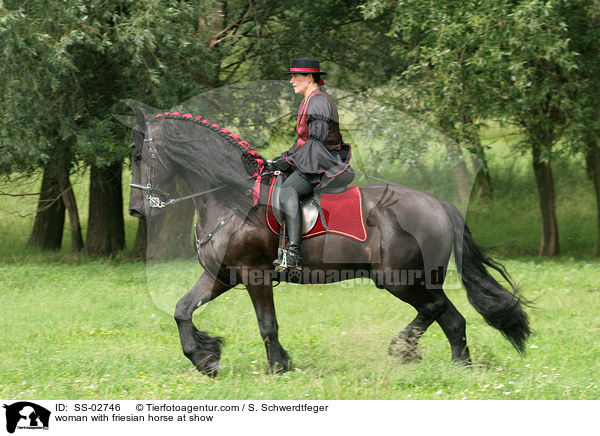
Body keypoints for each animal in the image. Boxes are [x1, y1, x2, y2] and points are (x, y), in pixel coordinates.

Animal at [127, 109, 528, 378]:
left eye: (139, 156)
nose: (135, 210)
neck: (231, 200)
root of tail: (440, 205)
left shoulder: (254, 274)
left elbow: (267, 324)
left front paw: (277, 367)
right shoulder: (222, 275)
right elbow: (182, 309)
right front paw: (206, 358)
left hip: (399, 279)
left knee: (434, 309)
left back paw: (402, 350)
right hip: (418, 279)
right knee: (451, 318)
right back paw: (459, 367)